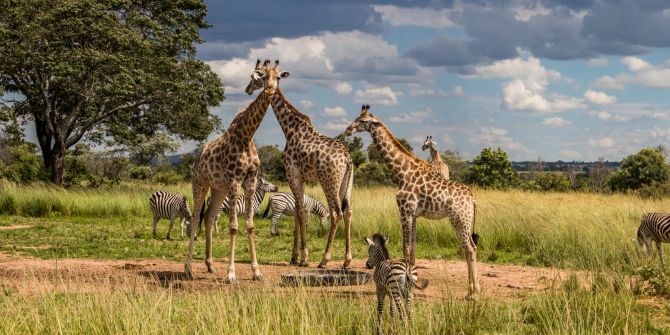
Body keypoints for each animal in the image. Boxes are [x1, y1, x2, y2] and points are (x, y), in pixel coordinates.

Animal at [184, 60, 292, 284]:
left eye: (278, 77)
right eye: (260, 76)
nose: (269, 88)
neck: (246, 134)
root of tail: (198, 157)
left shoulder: (250, 181)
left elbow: (250, 225)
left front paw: (257, 272)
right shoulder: (234, 181)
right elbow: (233, 226)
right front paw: (231, 274)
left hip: (219, 189)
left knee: (208, 218)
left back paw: (210, 265)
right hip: (200, 183)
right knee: (196, 218)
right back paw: (188, 269)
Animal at [266, 87, 354, 270]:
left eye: (257, 80)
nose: (248, 89)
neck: (290, 130)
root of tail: (347, 159)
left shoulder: (292, 174)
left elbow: (300, 212)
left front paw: (301, 258)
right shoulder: (302, 178)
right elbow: (298, 211)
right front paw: (296, 257)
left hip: (328, 181)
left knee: (336, 212)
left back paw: (324, 260)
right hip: (347, 183)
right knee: (348, 211)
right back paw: (347, 261)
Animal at [344, 105, 480, 300]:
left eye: (362, 121)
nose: (348, 130)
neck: (402, 173)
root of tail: (472, 198)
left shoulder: (405, 210)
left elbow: (405, 248)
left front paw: (408, 282)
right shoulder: (414, 215)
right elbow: (414, 248)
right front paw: (413, 281)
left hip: (459, 219)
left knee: (470, 249)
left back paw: (473, 293)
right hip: (465, 221)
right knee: (471, 247)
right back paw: (470, 291)